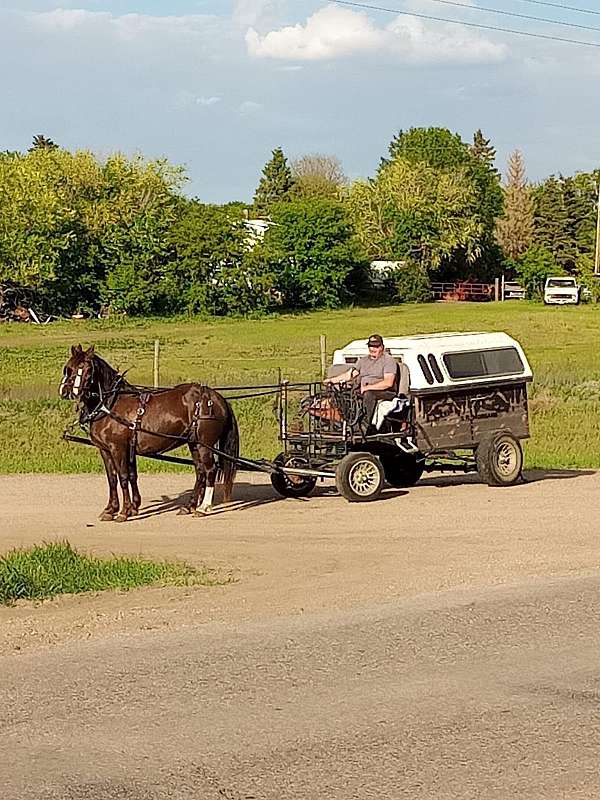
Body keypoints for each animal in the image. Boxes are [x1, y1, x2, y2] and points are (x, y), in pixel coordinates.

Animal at [59, 346, 239, 520]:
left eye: (88, 369)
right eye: (69, 368)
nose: (68, 391)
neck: (111, 404)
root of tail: (215, 397)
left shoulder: (118, 448)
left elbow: (123, 477)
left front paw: (123, 512)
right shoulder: (108, 450)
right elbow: (116, 478)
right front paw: (116, 509)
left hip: (205, 444)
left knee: (210, 470)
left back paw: (203, 507)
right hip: (194, 443)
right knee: (200, 471)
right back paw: (189, 506)